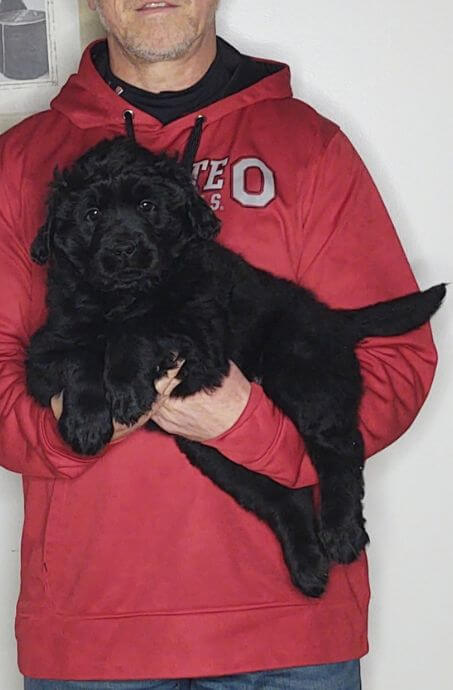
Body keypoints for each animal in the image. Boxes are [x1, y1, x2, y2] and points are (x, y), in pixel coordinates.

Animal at [25, 136, 444, 596]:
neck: (122, 295)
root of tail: (333, 318)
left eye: (148, 205)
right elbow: (81, 355)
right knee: (287, 495)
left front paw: (126, 386)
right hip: (214, 452)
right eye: (93, 214)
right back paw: (309, 565)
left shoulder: (201, 335)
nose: (125, 250)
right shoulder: (45, 347)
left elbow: (139, 326)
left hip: (302, 374)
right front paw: (86, 421)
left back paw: (342, 532)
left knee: (340, 447)